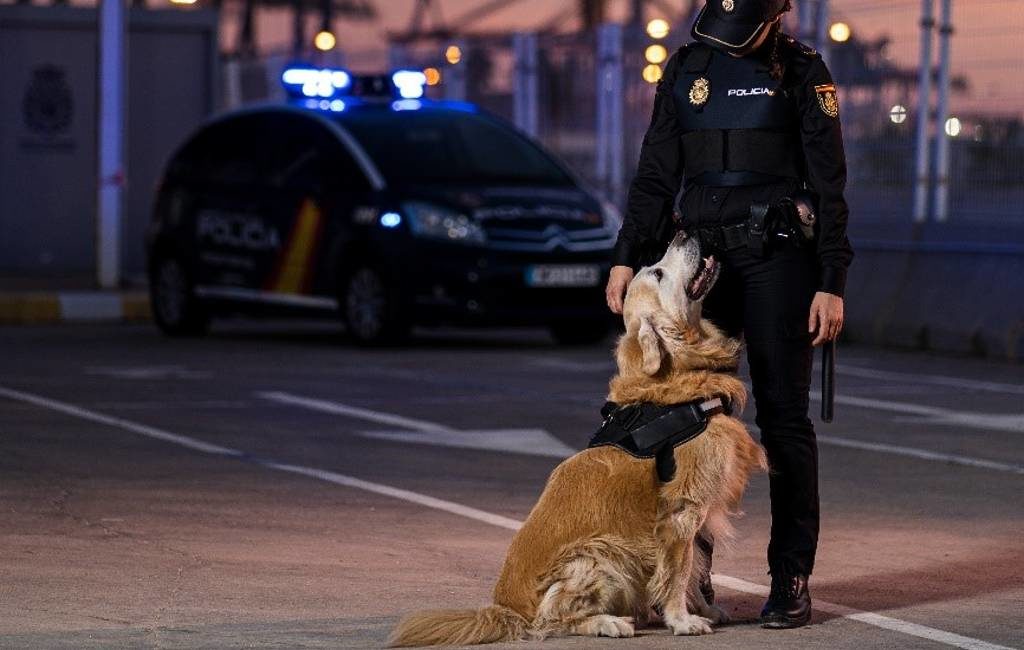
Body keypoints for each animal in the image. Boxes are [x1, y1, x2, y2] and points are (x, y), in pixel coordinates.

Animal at [387, 232, 765, 646]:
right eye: (658, 272)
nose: (683, 233)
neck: (673, 385)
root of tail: (507, 609)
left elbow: (693, 567)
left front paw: (705, 609)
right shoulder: (682, 509)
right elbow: (678, 572)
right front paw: (681, 619)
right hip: (601, 554)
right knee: (552, 620)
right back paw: (609, 623)